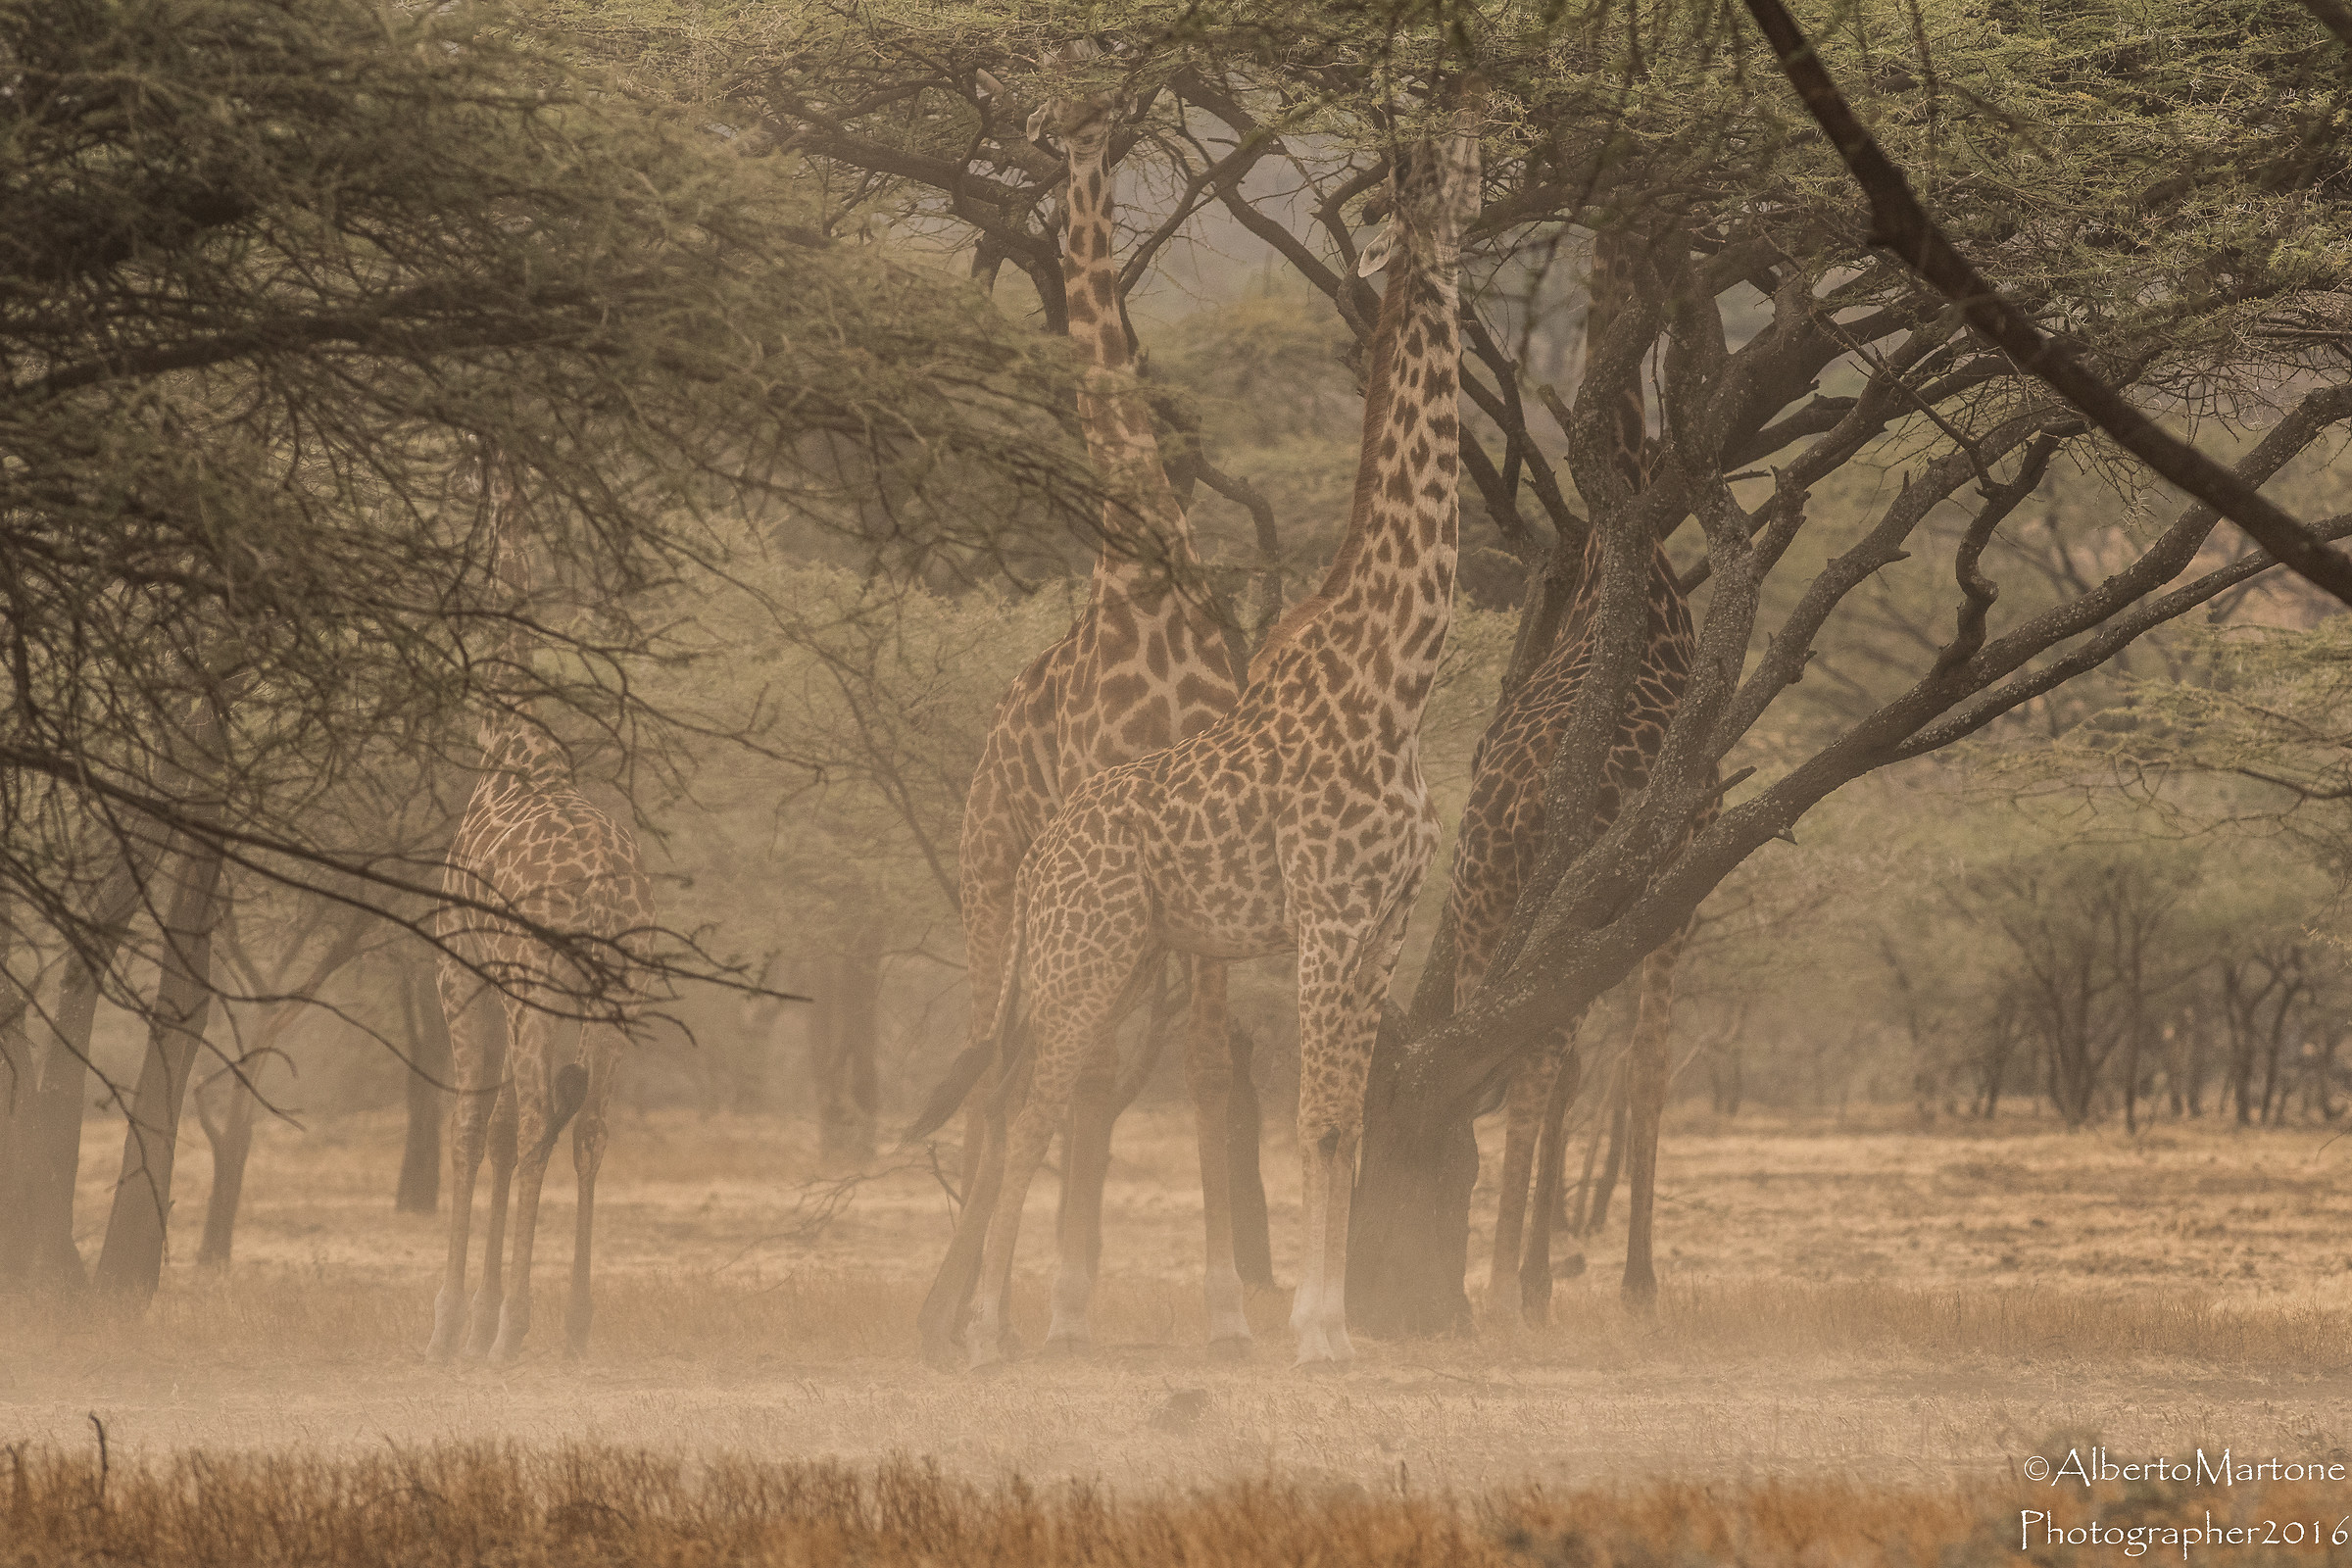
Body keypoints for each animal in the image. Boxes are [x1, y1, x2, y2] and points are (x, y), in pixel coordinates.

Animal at [425, 460, 657, 1363]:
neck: (503, 742)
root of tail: (603, 891)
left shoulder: (458, 977)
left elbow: (467, 1131)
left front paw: (452, 1324)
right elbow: (493, 1133)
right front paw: (481, 1307)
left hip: (535, 985)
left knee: (528, 1122)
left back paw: (510, 1331)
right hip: (622, 991)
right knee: (588, 1127)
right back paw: (574, 1324)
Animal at [915, 98, 1482, 1369]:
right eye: (1425, 175)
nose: (1462, 170)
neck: (1399, 681)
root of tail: (1049, 843)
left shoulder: (1385, 920)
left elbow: (1335, 1124)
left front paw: (1319, 1323)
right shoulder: (1328, 912)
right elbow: (1316, 1123)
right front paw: (1316, 1332)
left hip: (1114, 953)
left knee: (1024, 1094)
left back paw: (977, 1316)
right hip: (1050, 940)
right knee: (1023, 1103)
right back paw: (983, 1327)